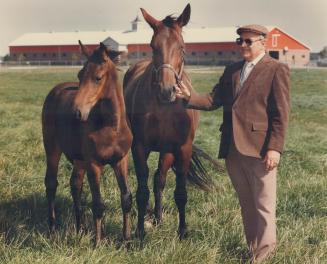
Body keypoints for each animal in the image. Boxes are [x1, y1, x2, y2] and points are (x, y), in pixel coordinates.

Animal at [42, 41, 133, 245]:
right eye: (79, 74)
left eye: (98, 78)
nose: (76, 112)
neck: (111, 126)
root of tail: (56, 89)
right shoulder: (94, 164)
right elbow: (98, 203)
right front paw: (98, 243)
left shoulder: (121, 160)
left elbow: (126, 198)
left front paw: (126, 240)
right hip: (52, 149)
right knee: (51, 183)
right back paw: (52, 229)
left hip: (79, 160)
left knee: (75, 184)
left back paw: (80, 228)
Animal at [123, 3, 213, 239]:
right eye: (153, 47)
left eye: (182, 47)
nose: (167, 90)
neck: (164, 109)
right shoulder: (139, 147)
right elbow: (142, 191)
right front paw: (139, 233)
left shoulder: (182, 148)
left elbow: (180, 192)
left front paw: (182, 232)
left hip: (167, 150)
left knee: (159, 179)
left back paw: (159, 217)